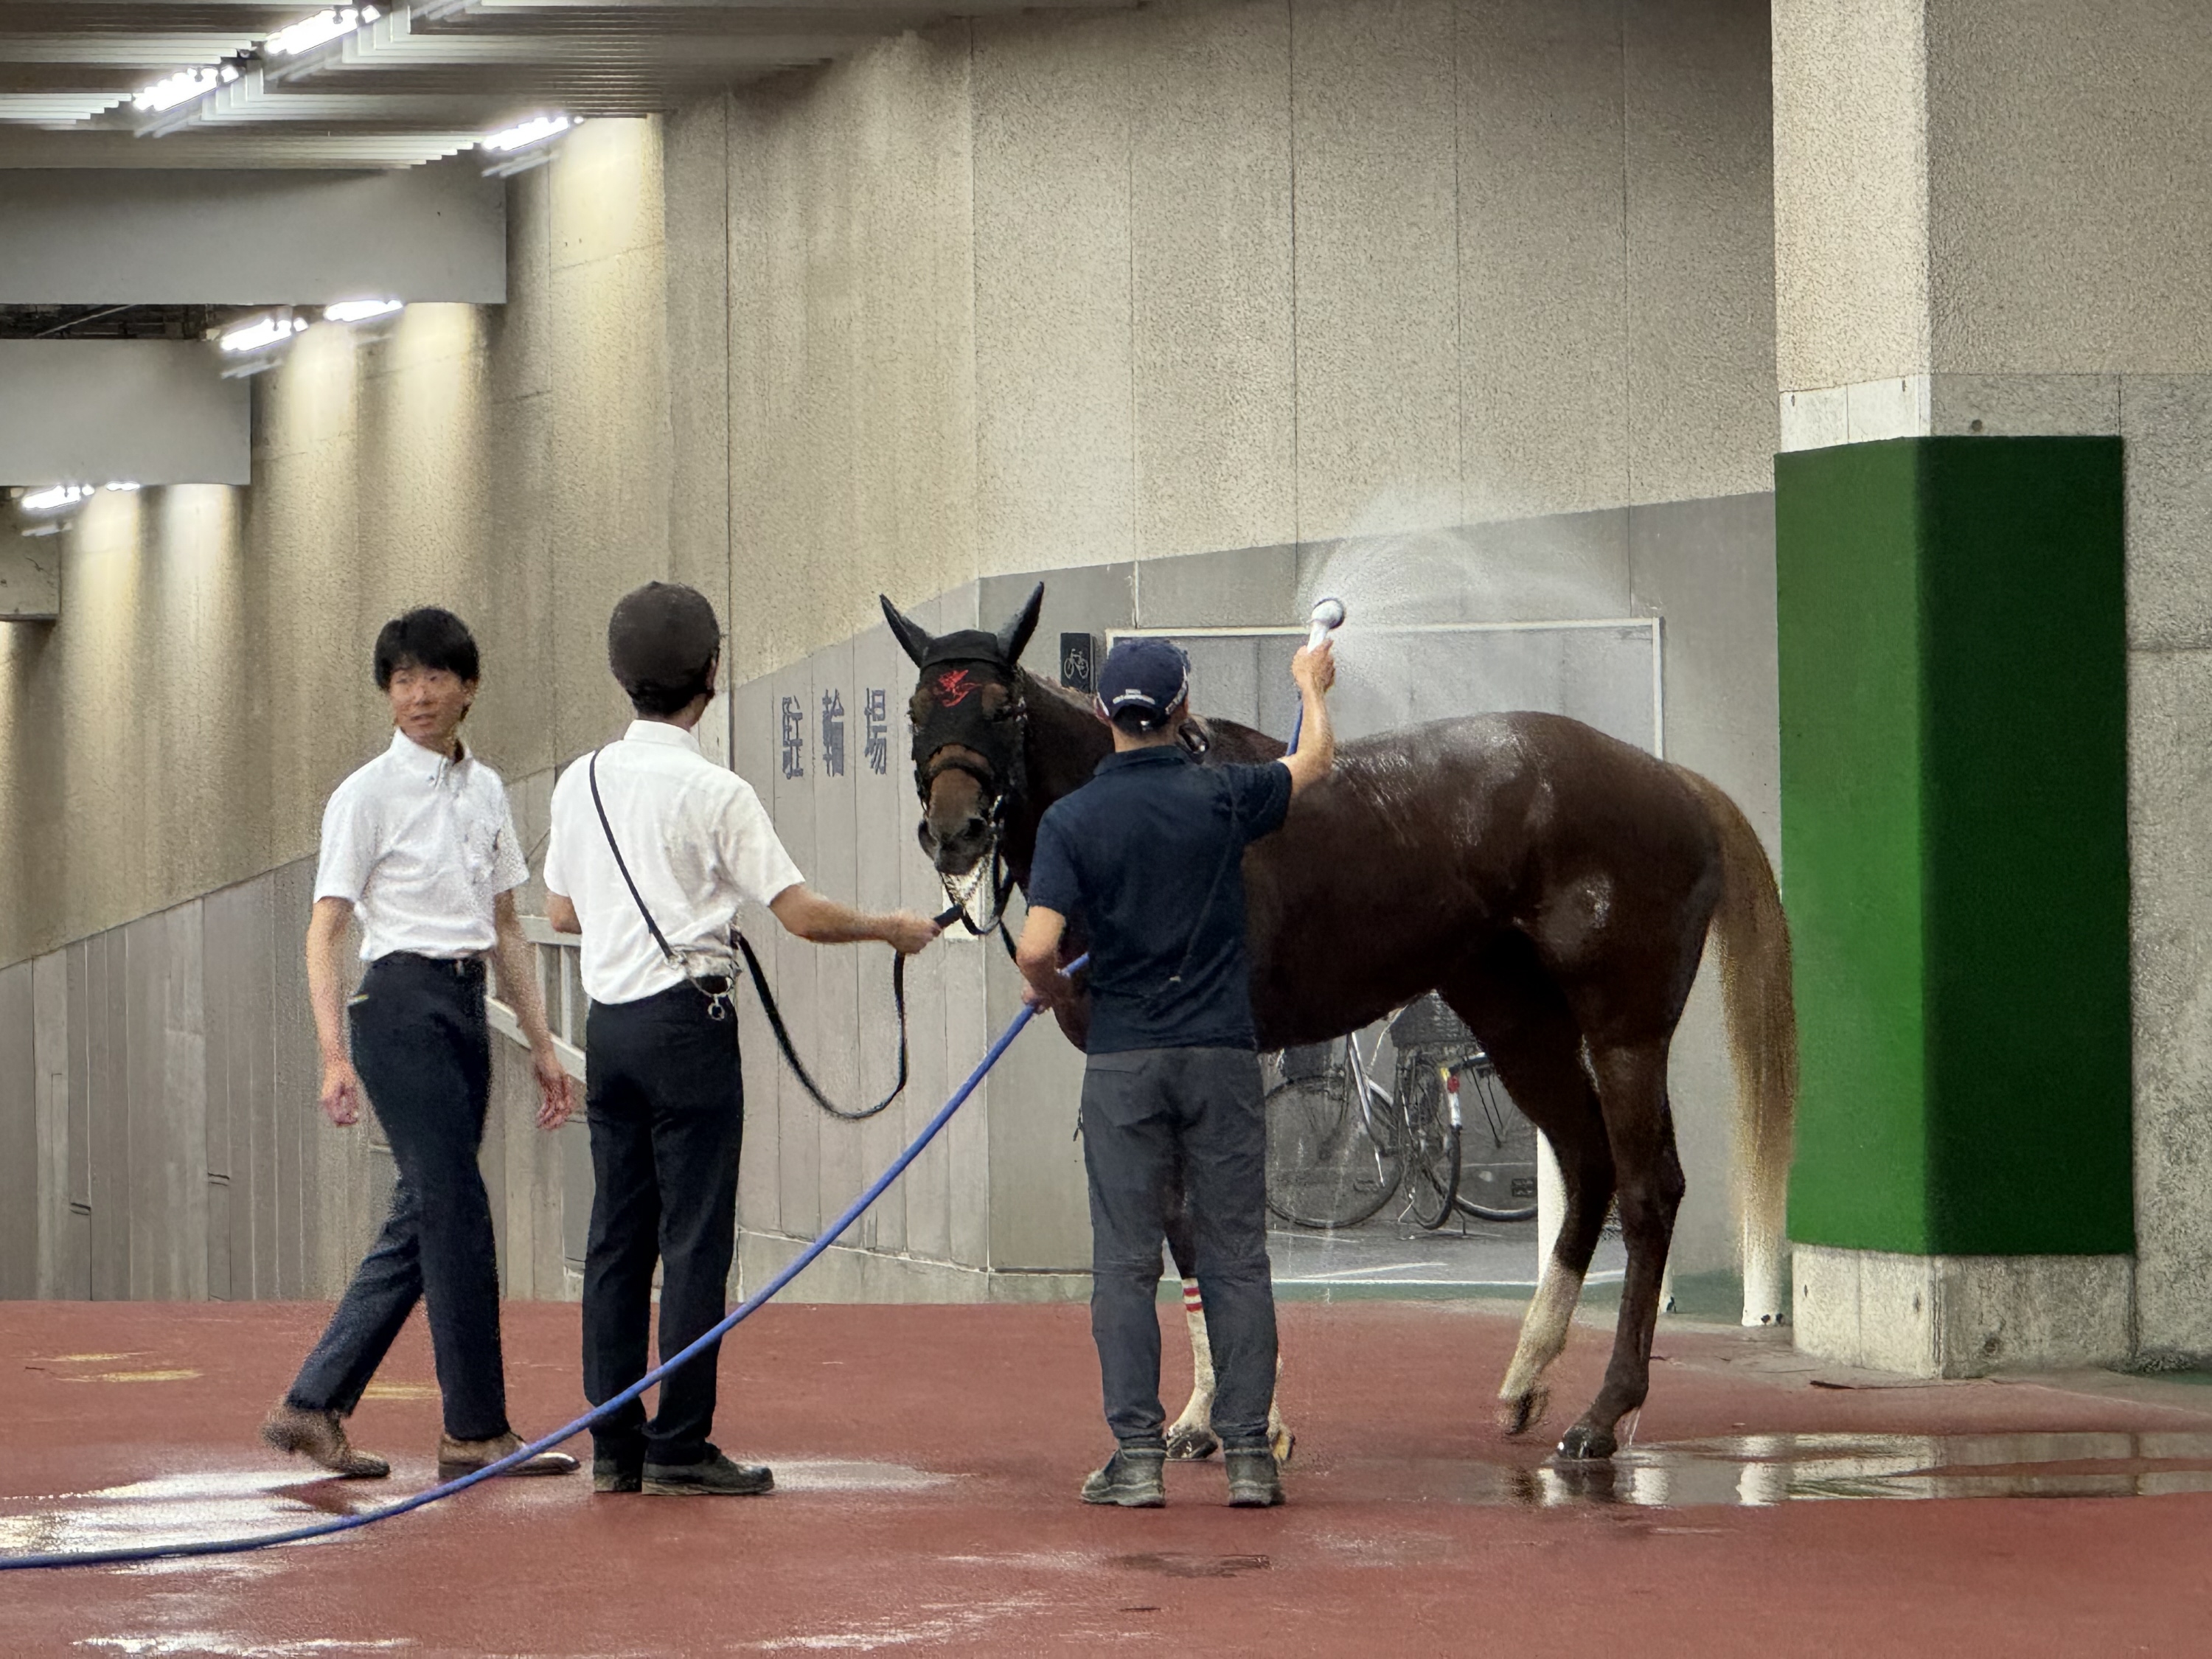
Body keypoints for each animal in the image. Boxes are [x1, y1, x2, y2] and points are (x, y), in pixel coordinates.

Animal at [882, 582, 1796, 1461]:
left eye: (1003, 707)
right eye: (919, 708)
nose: (954, 830)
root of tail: (1672, 781)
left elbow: (1218, 1225)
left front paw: (1257, 1417)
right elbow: (1182, 1227)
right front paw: (1201, 1414)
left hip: (1624, 1029)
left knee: (1648, 1189)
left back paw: (1604, 1413)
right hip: (1517, 1021)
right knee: (1588, 1165)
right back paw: (1526, 1379)